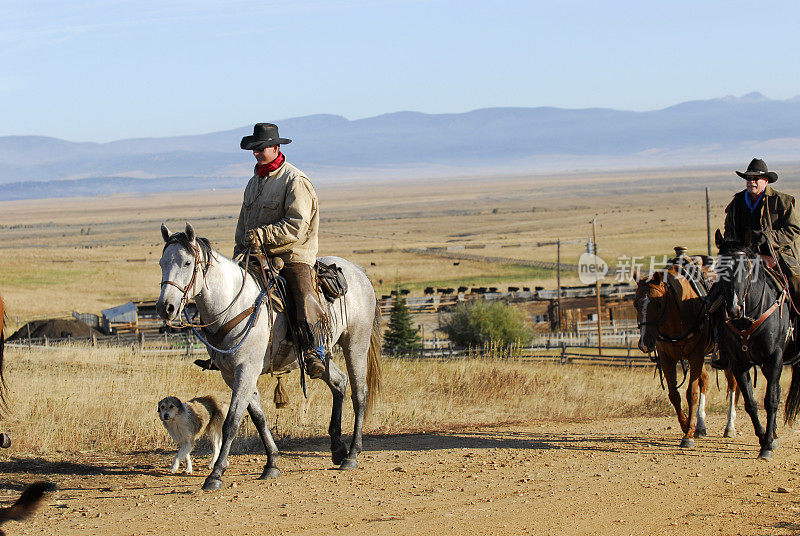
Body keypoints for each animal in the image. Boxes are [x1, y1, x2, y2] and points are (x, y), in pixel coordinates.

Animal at [158, 224, 382, 492]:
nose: (165, 308)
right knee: (338, 382)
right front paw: (271, 463)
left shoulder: (246, 369)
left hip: (355, 344)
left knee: (359, 394)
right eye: (162, 262)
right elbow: (258, 418)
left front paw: (216, 474)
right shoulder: (232, 375)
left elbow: (232, 421)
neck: (232, 306)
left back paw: (352, 455)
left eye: (187, 262)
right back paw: (337, 449)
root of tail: (359, 272)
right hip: (322, 355)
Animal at [636, 260, 740, 448]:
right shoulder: (667, 358)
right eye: (635, 304)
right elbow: (674, 395)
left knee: (732, 384)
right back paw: (701, 426)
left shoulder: (695, 355)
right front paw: (686, 425)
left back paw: (729, 427)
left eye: (658, 303)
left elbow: (691, 393)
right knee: (705, 381)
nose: (645, 344)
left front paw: (688, 436)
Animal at [712, 233, 800, 460]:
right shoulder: (739, 363)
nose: (734, 308)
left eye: (748, 267)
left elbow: (771, 400)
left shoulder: (775, 357)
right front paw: (765, 437)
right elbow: (751, 403)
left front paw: (767, 446)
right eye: (720, 267)